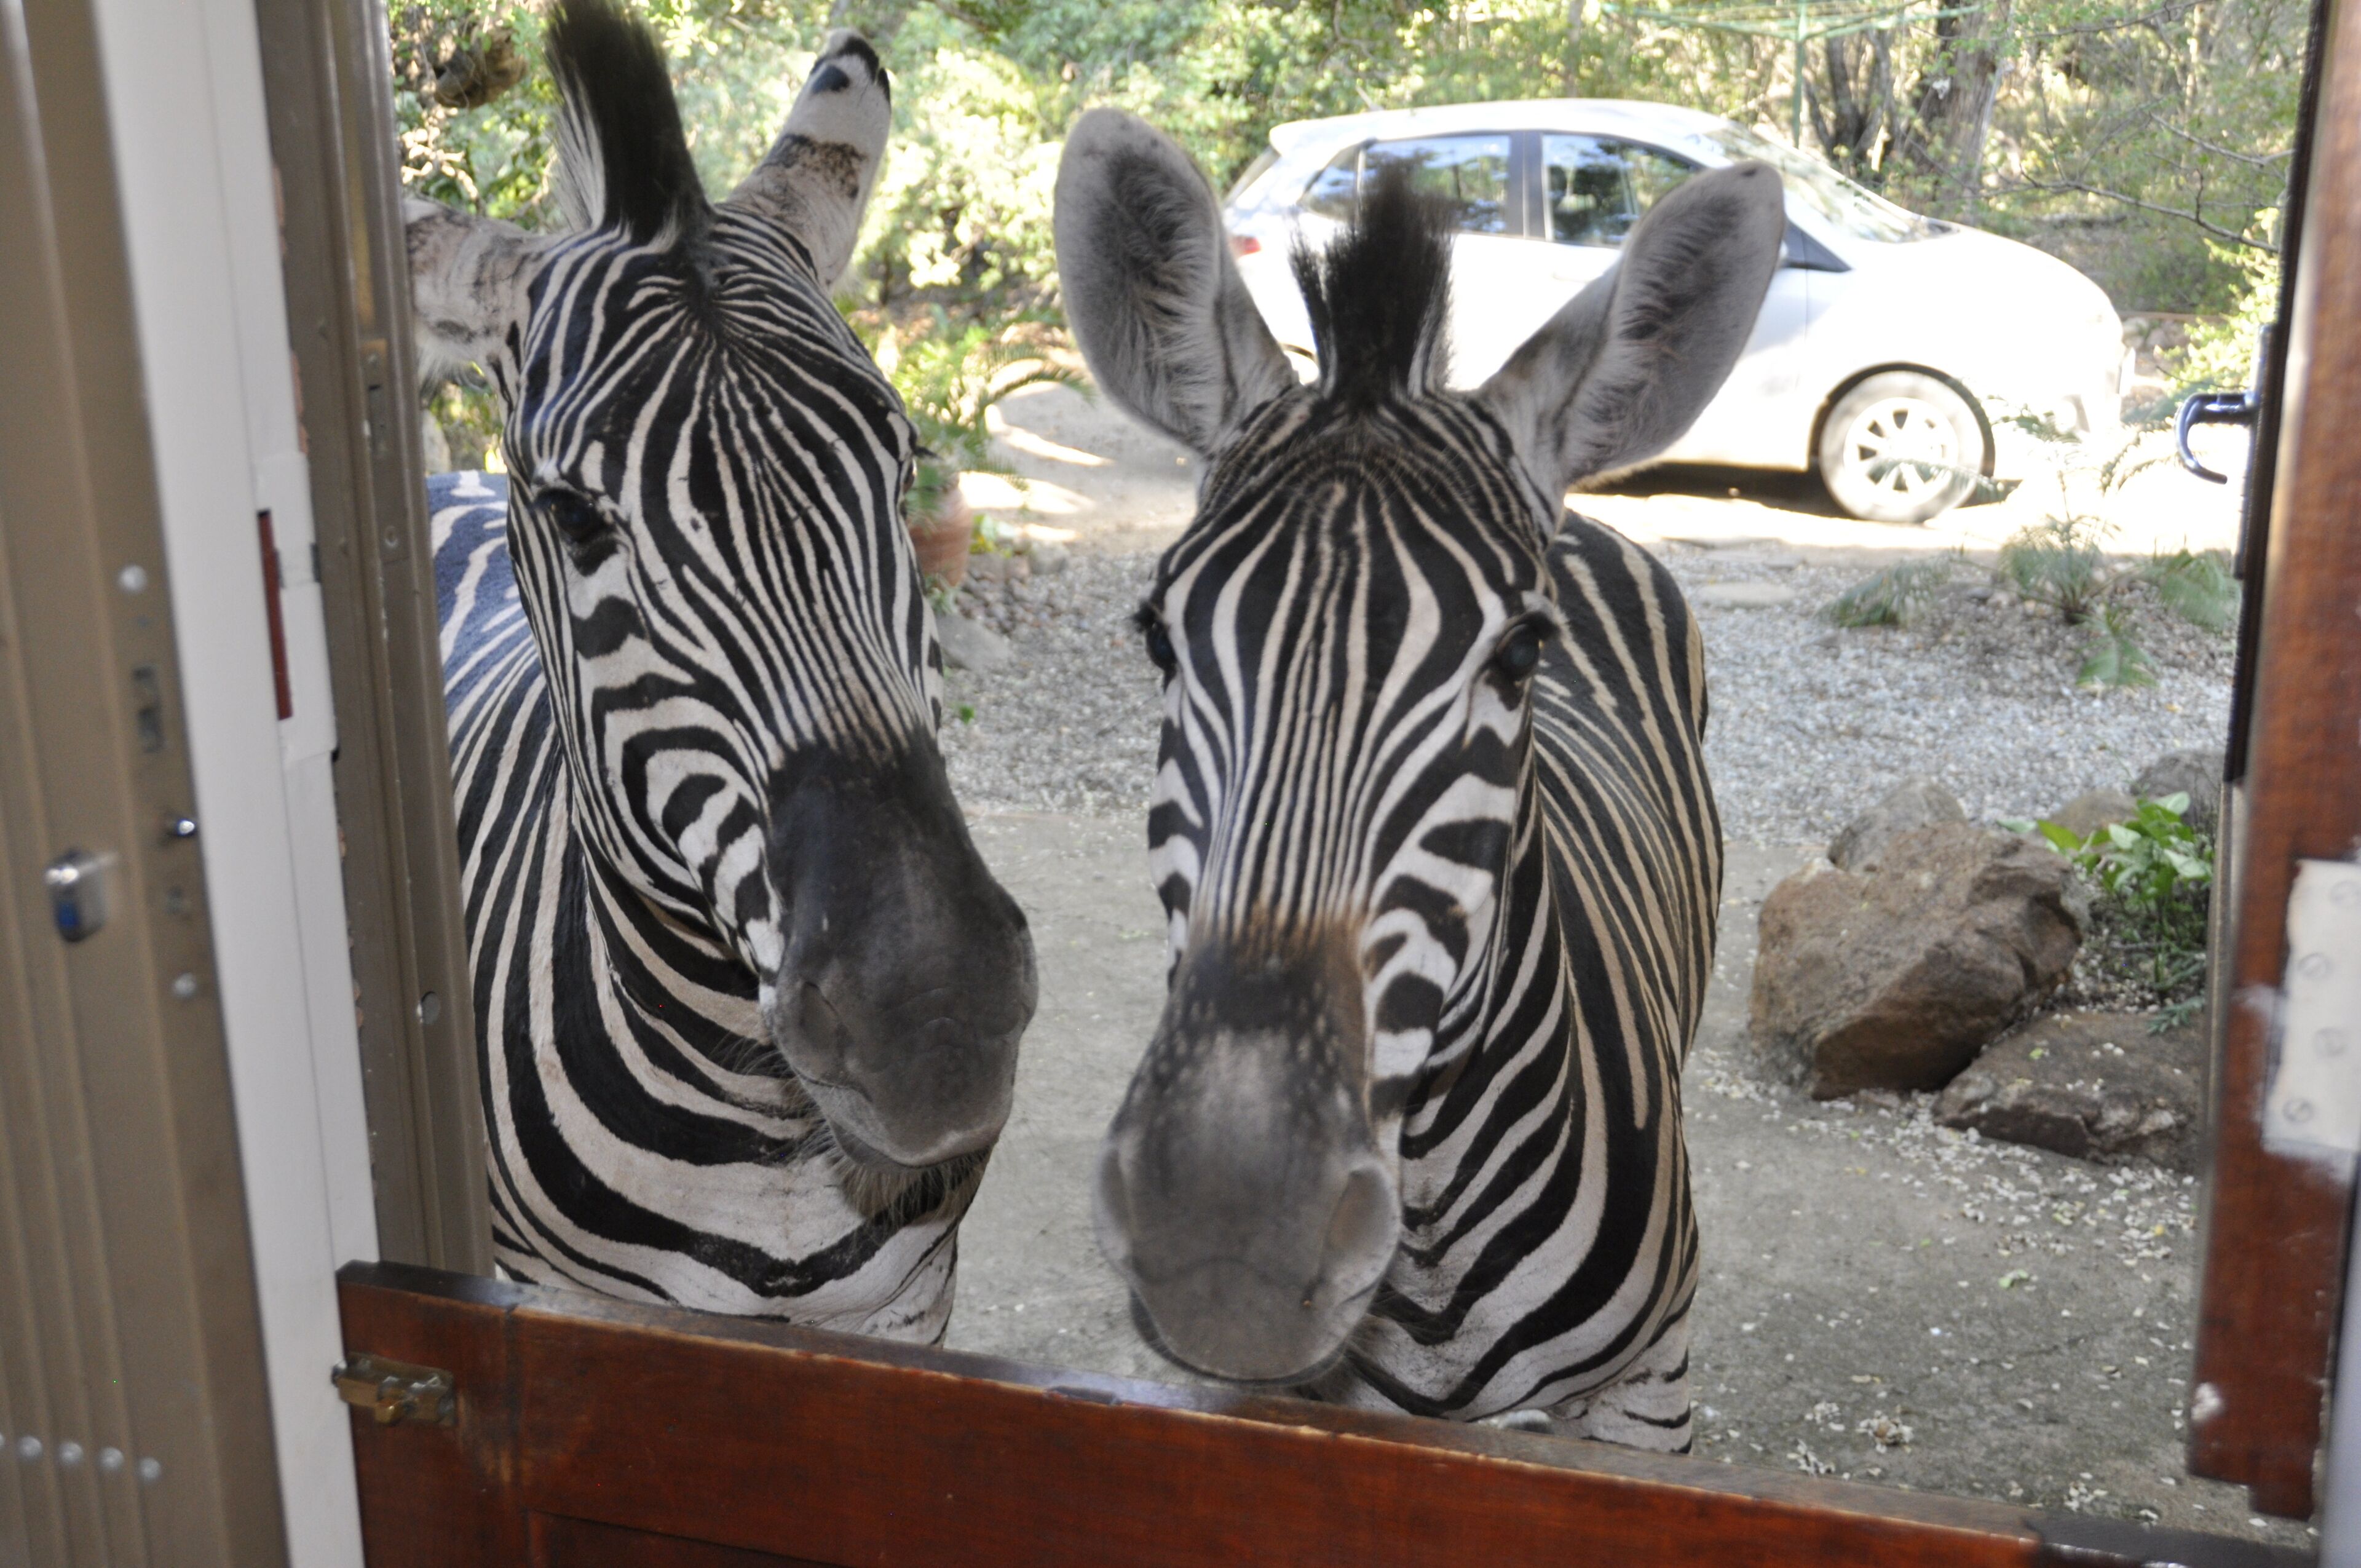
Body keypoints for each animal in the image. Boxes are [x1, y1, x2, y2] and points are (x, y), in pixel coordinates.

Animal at [1054, 110, 1784, 1440]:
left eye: (1522, 656)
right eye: (1157, 638)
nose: (1229, 1245)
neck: (1437, 1225)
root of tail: (1583, 517)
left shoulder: (1651, 1395)